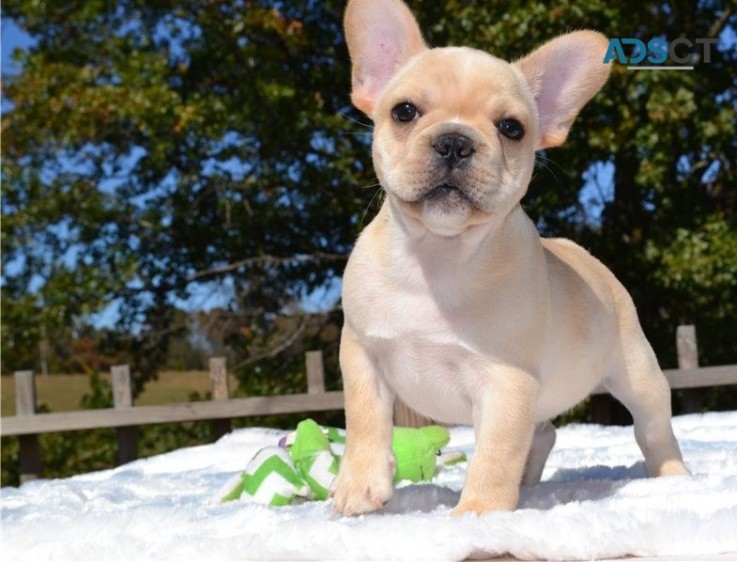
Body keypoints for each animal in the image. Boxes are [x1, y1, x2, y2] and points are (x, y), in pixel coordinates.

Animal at [330, 0, 688, 516]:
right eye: (404, 112)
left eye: (511, 128)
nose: (455, 141)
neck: (437, 255)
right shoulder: (362, 352)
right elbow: (363, 419)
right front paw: (358, 486)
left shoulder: (506, 383)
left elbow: (495, 453)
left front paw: (480, 514)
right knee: (543, 432)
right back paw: (531, 482)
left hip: (639, 373)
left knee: (652, 428)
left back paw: (674, 479)